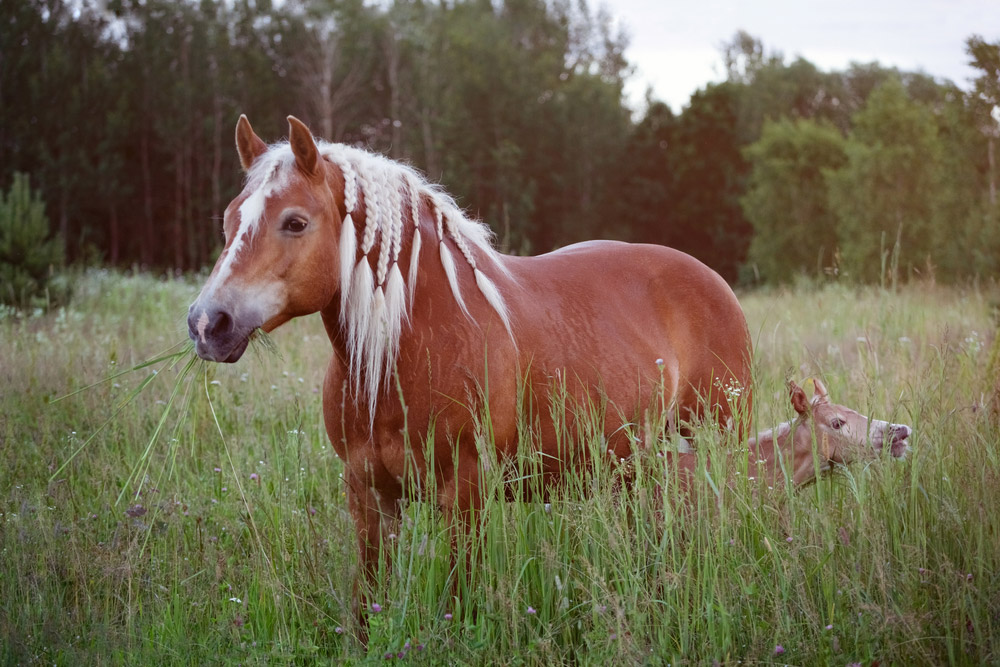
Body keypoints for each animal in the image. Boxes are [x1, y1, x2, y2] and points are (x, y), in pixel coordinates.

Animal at [186, 113, 752, 616]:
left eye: (295, 222)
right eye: (229, 220)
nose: (207, 323)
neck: (399, 355)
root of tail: (712, 279)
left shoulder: (466, 493)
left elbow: (460, 597)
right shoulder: (368, 495)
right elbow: (367, 603)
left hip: (719, 439)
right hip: (638, 462)